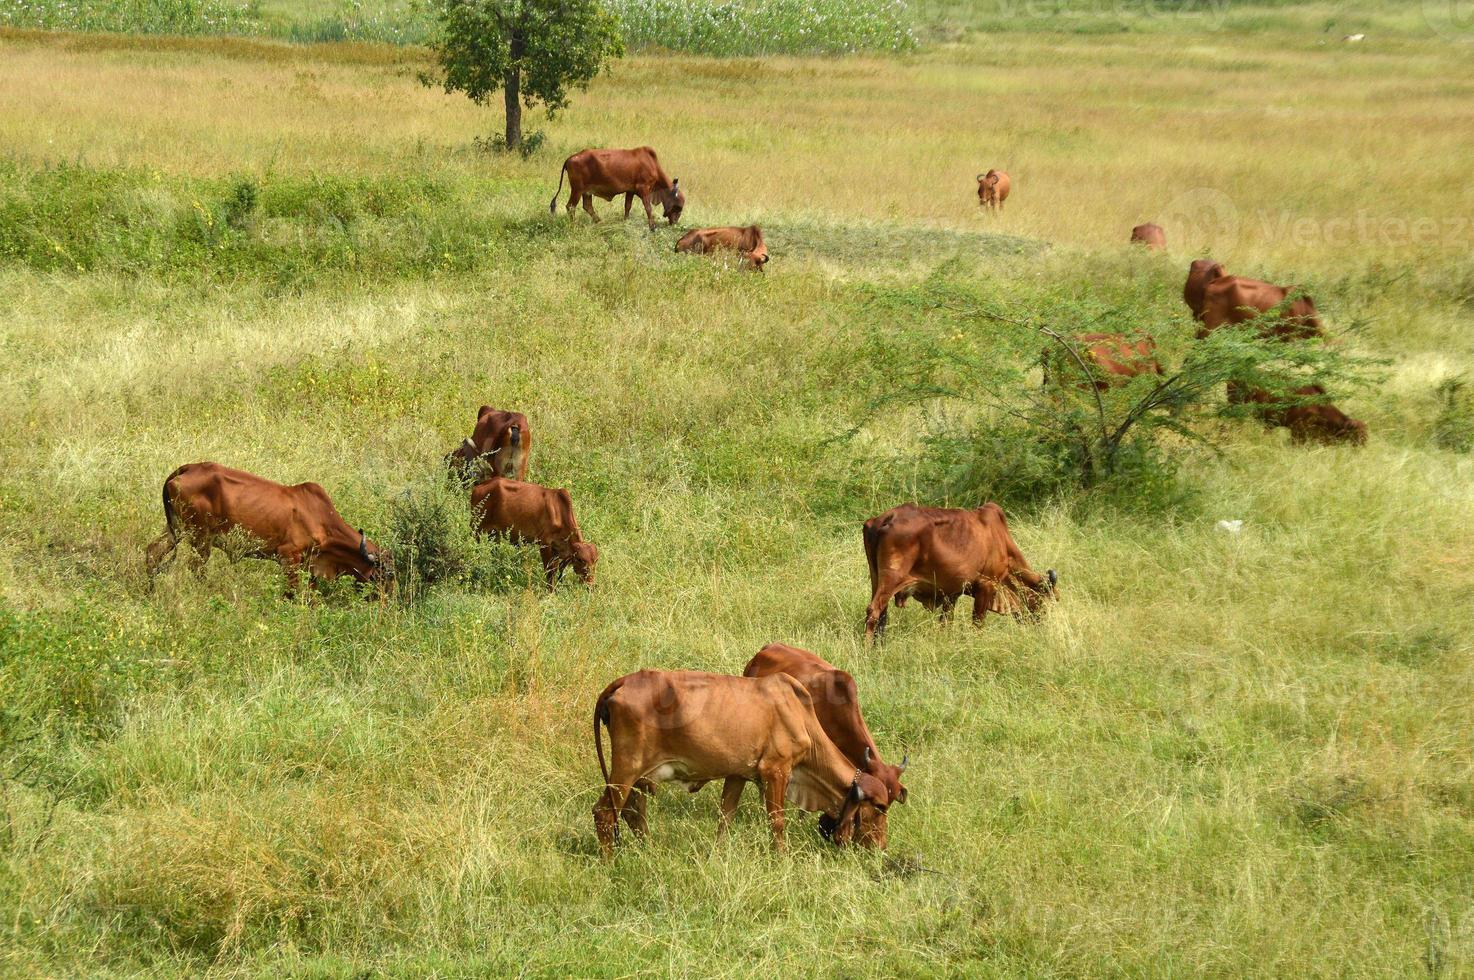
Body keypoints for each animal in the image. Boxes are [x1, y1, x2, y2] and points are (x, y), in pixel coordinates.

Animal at [144, 459, 395, 595]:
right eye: (383, 576)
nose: (388, 602)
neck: (321, 519)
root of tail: (186, 469)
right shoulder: (288, 556)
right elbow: (291, 593)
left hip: (176, 530)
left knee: (152, 552)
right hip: (200, 538)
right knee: (196, 569)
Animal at [554, 145, 683, 226]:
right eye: (678, 206)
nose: (675, 222)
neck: (652, 165)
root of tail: (571, 158)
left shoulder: (630, 191)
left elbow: (627, 206)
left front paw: (625, 221)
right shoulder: (644, 189)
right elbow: (648, 208)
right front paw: (652, 227)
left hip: (586, 192)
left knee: (587, 206)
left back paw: (599, 221)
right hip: (577, 190)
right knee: (570, 206)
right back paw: (574, 224)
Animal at [586, 669, 884, 854]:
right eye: (880, 807)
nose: (881, 848)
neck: (801, 715)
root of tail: (624, 682)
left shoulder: (738, 774)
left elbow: (725, 818)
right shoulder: (776, 770)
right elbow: (776, 822)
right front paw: (782, 859)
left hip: (637, 777)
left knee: (633, 811)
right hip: (627, 768)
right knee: (605, 812)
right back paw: (610, 863)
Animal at [860, 501, 1061, 639]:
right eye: (1045, 601)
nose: (1041, 626)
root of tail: (887, 518)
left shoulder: (952, 593)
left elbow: (946, 622)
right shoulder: (986, 585)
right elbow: (978, 623)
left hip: (876, 578)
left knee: (882, 615)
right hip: (891, 578)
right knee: (874, 611)